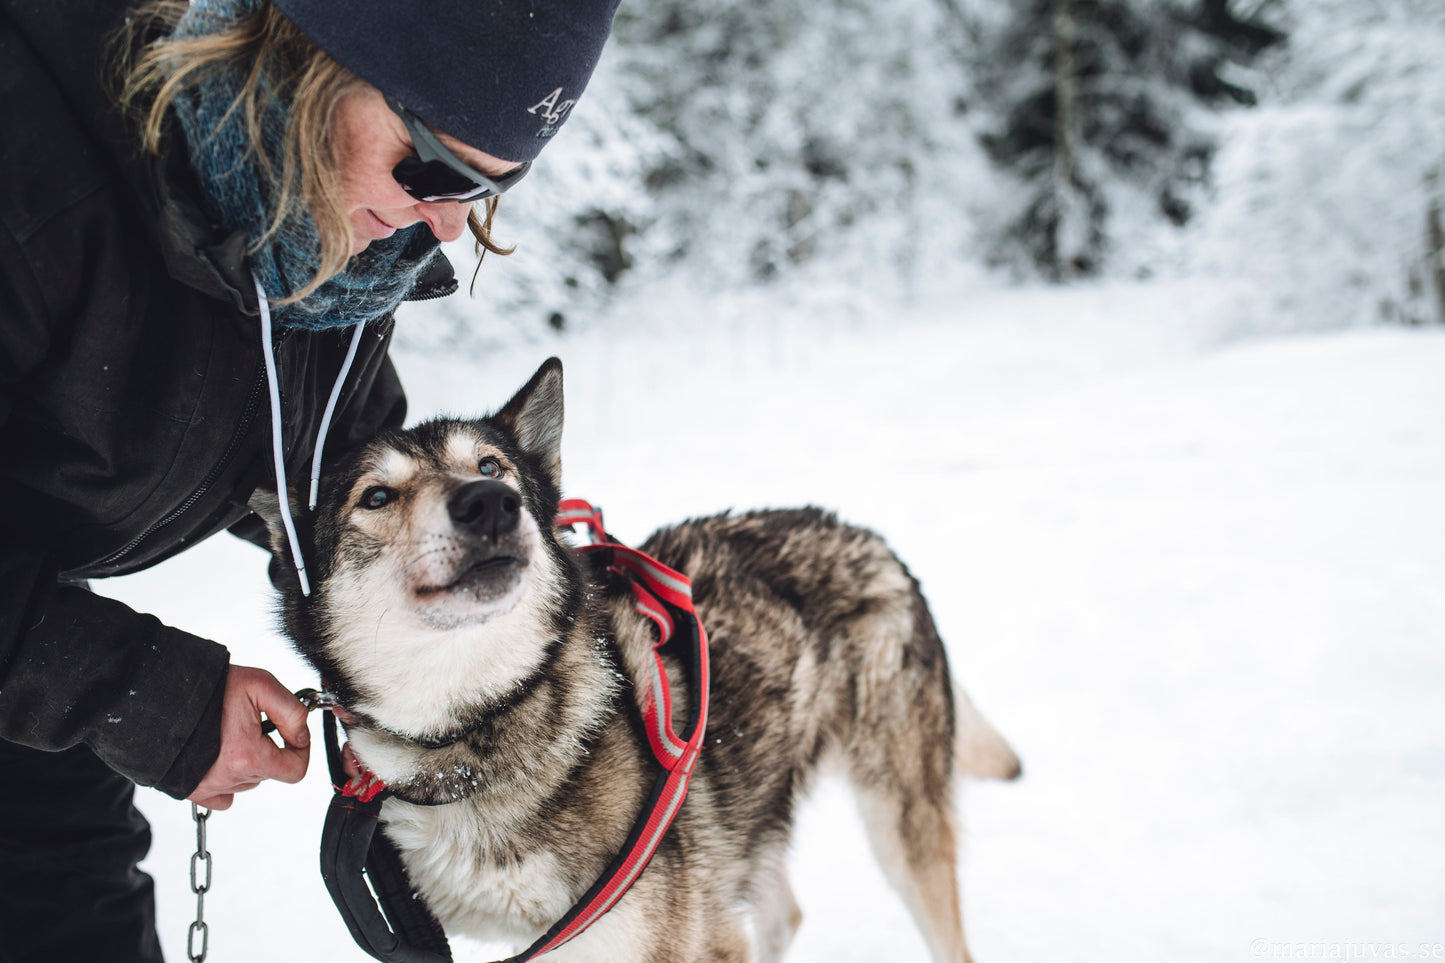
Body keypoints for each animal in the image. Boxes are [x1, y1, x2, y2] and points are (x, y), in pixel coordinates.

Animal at [254, 355, 1023, 954]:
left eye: (492, 465)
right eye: (376, 496)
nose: (490, 501)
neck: (478, 737)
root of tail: (868, 535)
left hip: (899, 827)